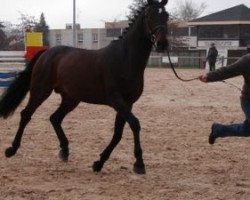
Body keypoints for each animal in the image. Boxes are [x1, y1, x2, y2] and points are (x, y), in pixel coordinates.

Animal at [0, 0, 169, 174]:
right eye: (150, 15)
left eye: (166, 16)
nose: (162, 44)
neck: (125, 59)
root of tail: (46, 53)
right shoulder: (116, 100)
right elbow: (135, 124)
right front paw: (139, 163)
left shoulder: (128, 103)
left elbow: (118, 133)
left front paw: (99, 162)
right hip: (40, 91)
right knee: (26, 114)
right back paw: (12, 149)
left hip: (71, 99)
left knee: (55, 118)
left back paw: (65, 151)